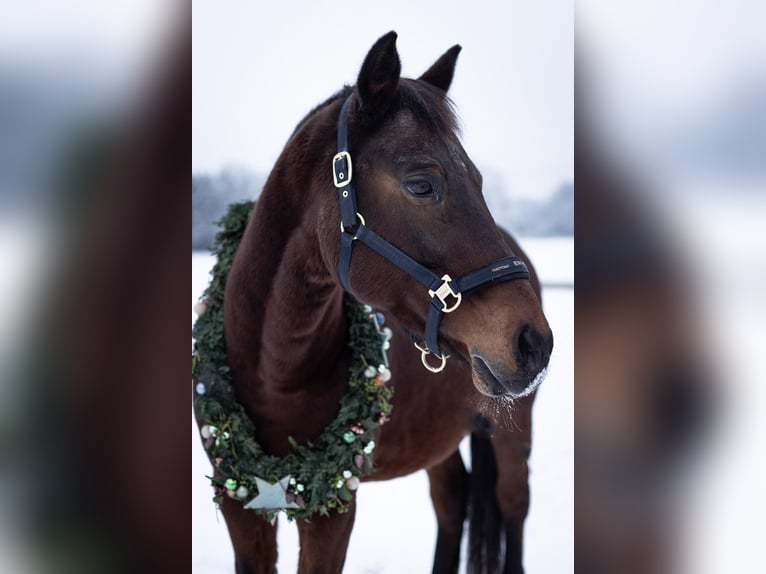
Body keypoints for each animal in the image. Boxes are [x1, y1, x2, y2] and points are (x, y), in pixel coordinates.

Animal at [204, 32, 552, 574]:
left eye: (477, 180)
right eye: (421, 184)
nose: (534, 342)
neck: (274, 372)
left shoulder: (333, 508)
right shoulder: (240, 503)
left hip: (511, 436)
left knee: (512, 507)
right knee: (452, 502)